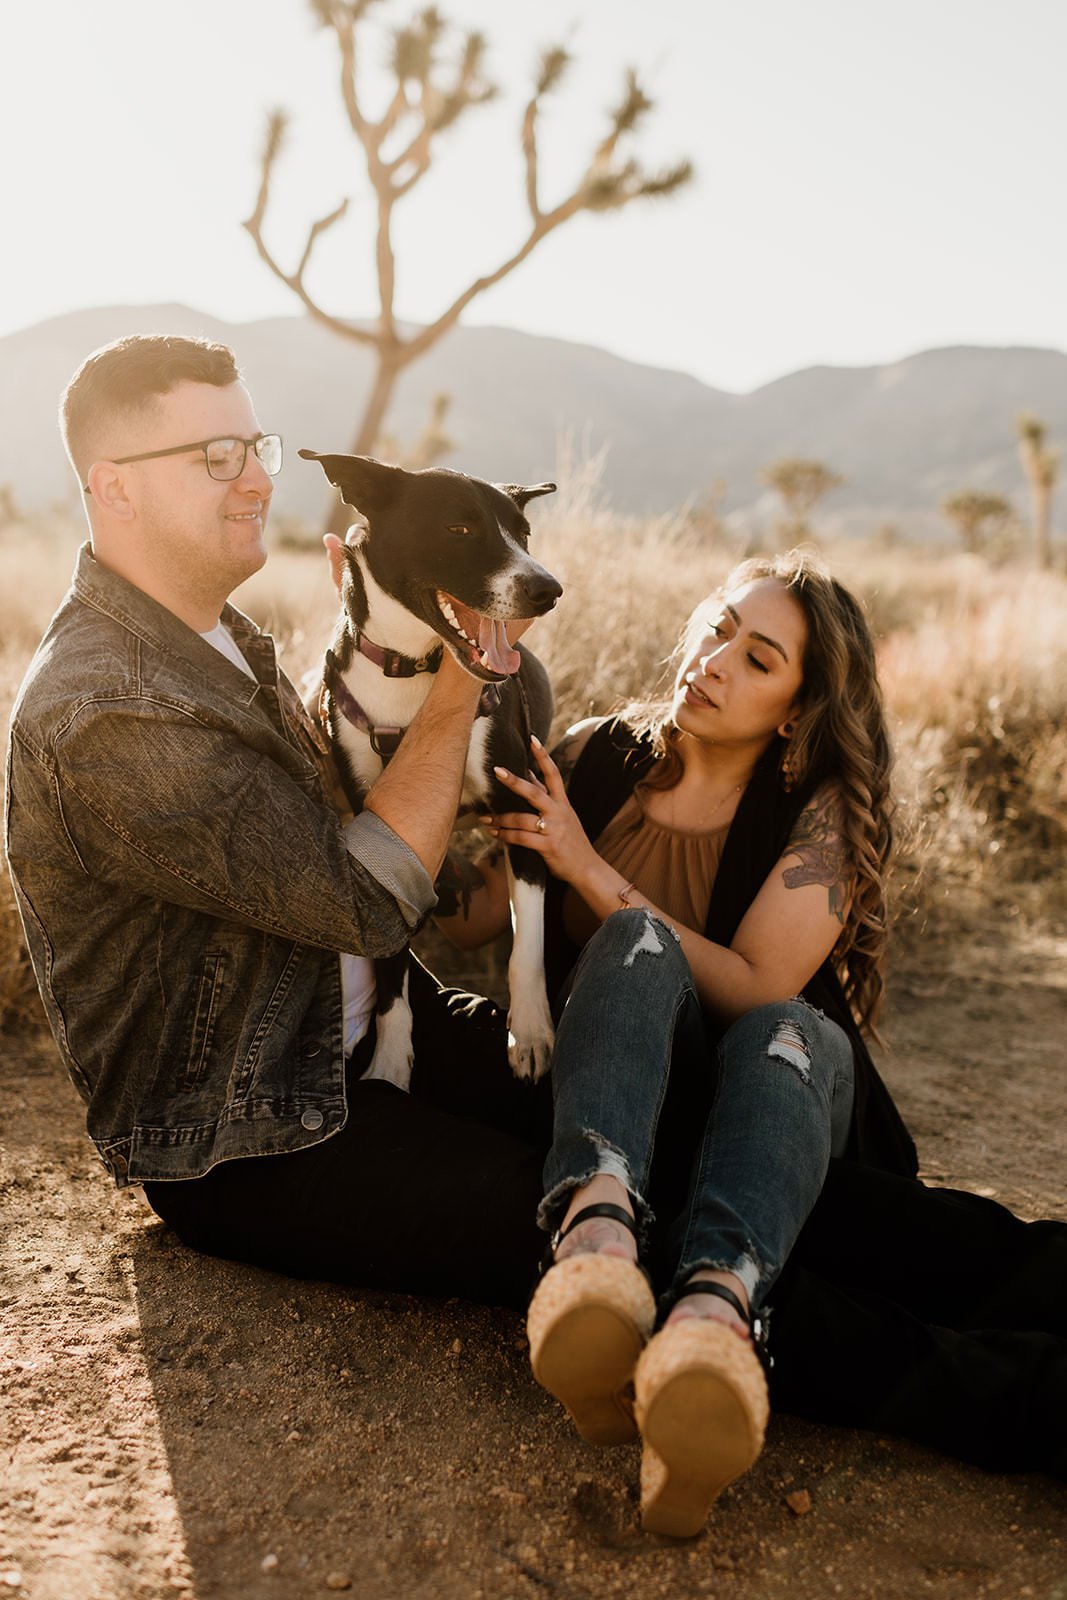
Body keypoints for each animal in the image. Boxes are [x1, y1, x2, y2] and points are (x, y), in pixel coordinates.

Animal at [300, 457, 563, 1094]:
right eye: (458, 529)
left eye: (524, 532)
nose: (548, 590)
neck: (410, 670)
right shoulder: (376, 833)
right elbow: (391, 976)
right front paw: (390, 1064)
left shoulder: (522, 806)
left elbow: (528, 946)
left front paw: (531, 1034)